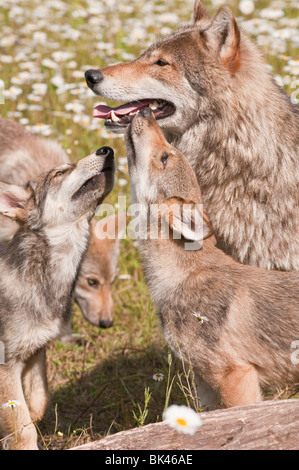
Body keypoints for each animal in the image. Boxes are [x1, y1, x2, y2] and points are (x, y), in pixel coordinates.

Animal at [0, 146, 115, 448]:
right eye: (60, 173)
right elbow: (24, 428)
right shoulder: (6, 366)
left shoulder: (35, 351)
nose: (107, 150)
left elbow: (38, 405)